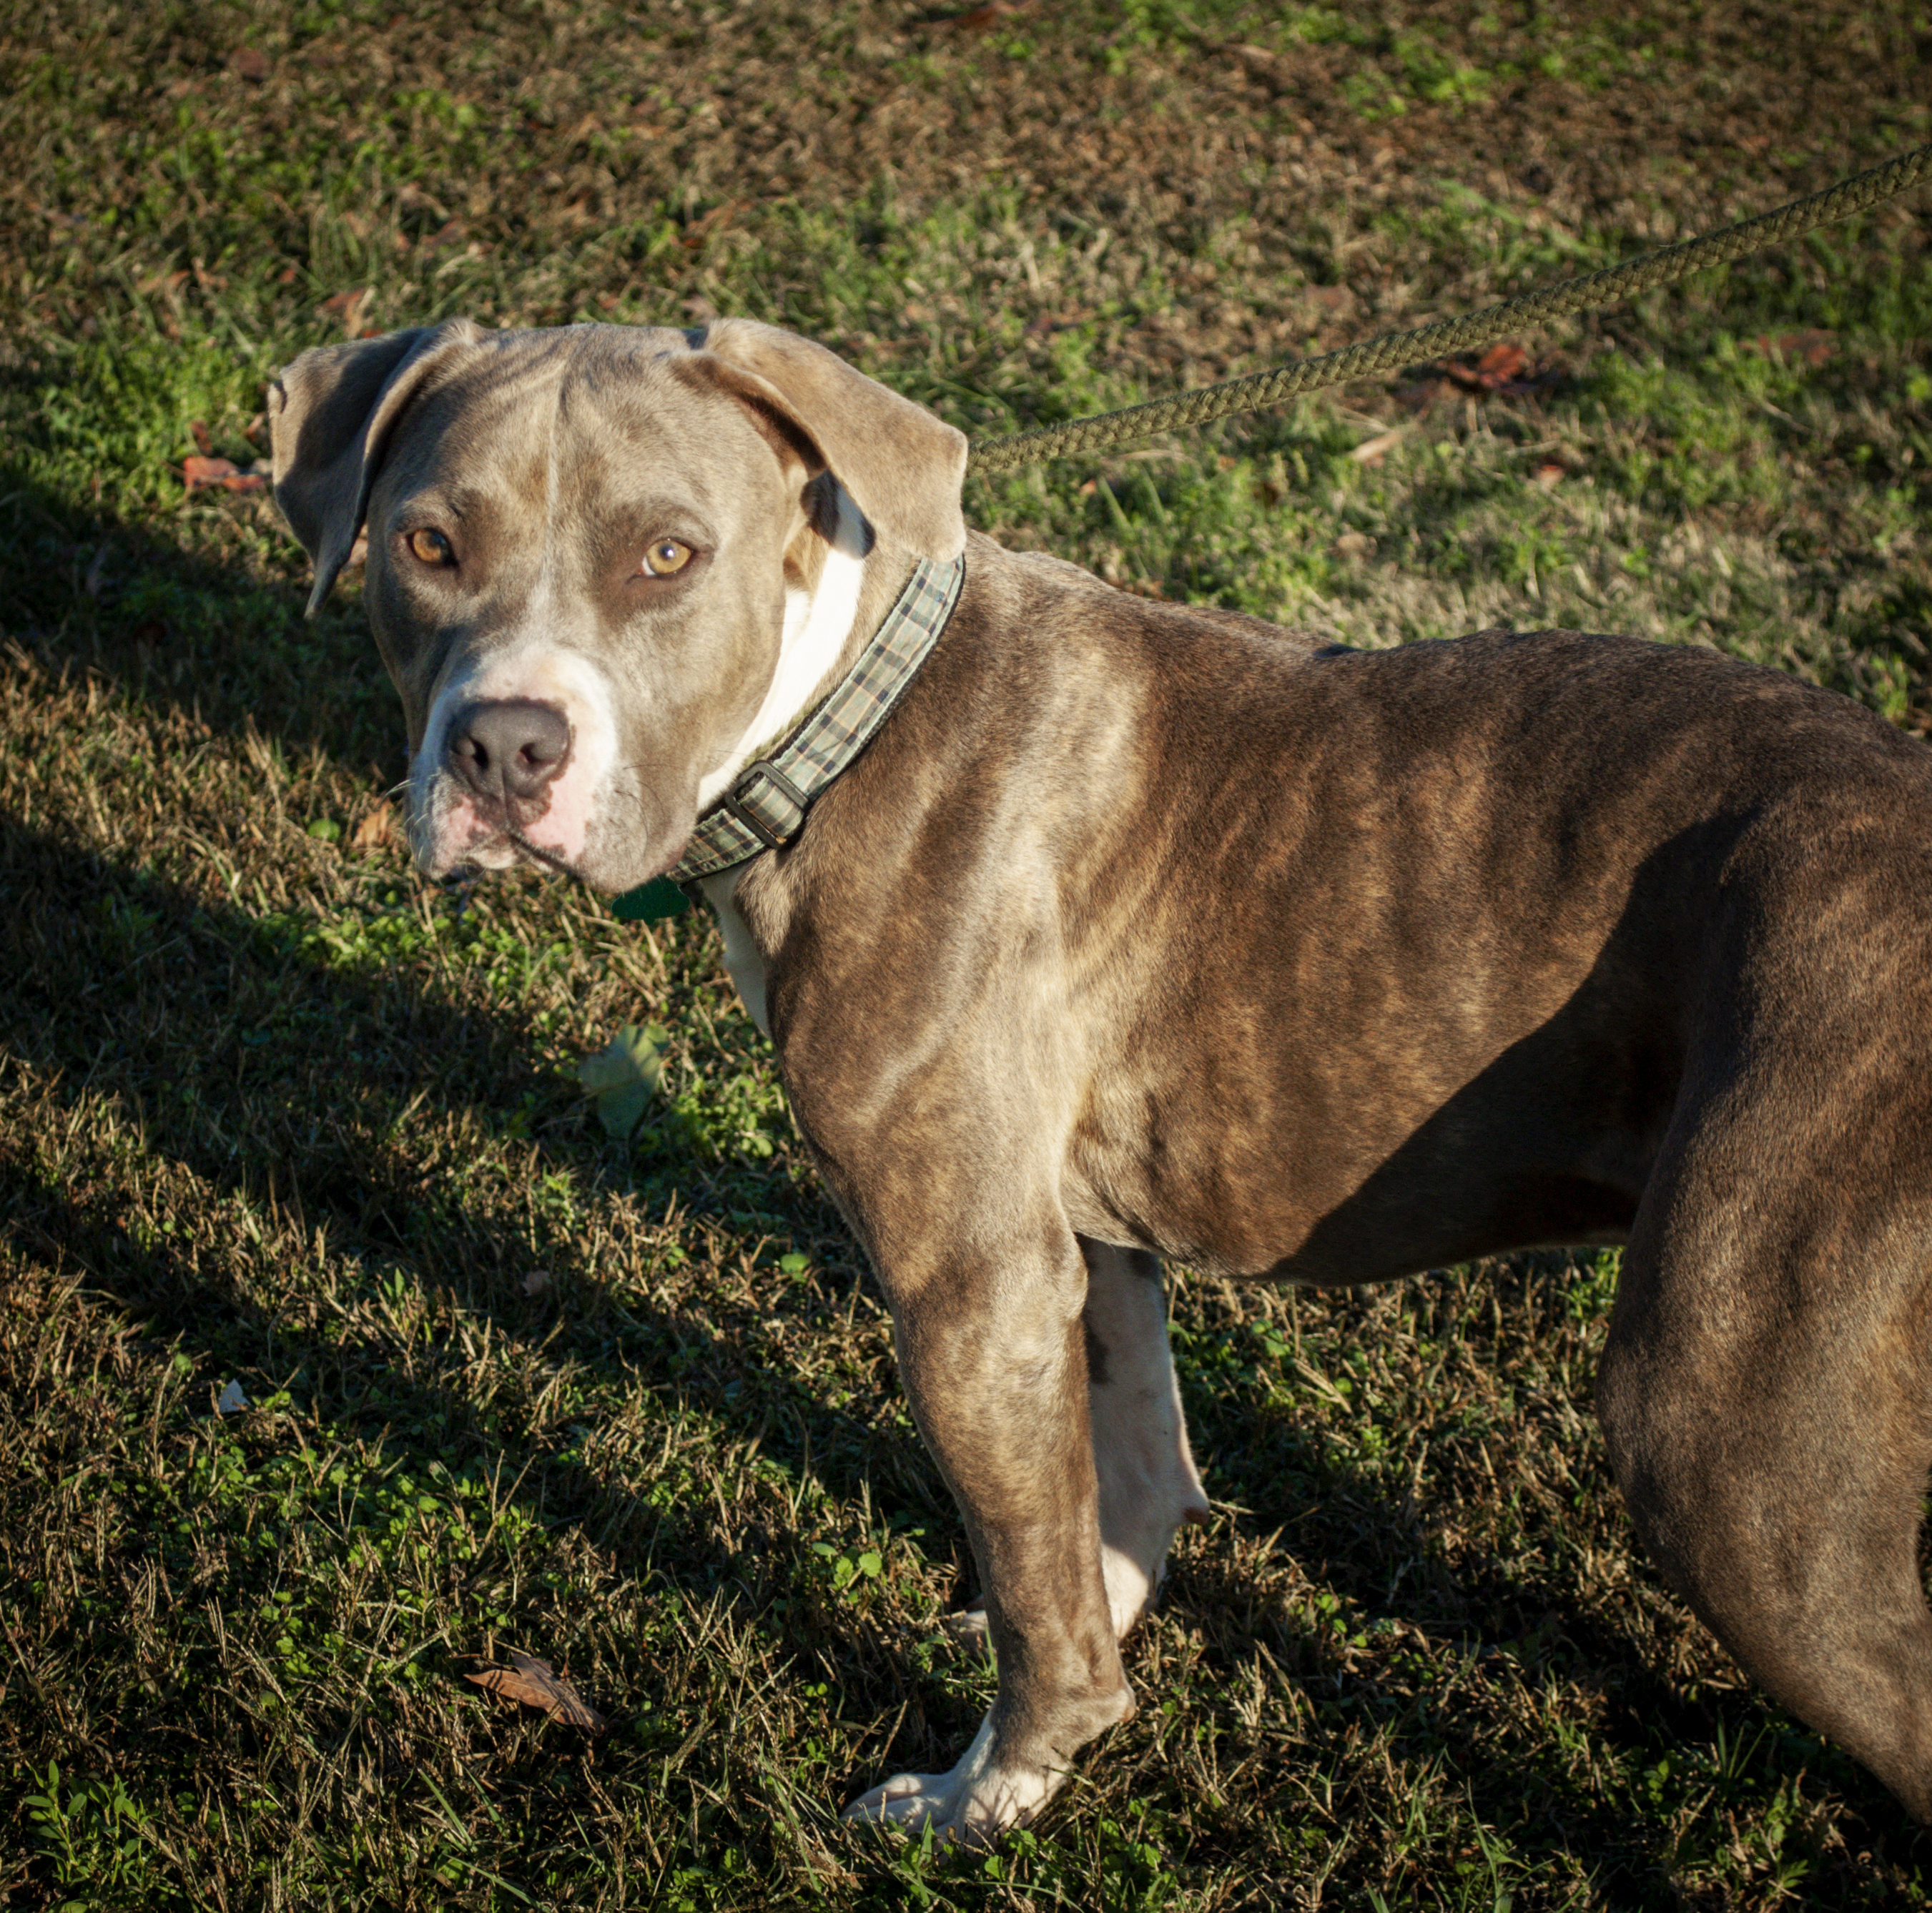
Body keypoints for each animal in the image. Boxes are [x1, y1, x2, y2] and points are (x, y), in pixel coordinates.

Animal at [268, 322, 1932, 1847]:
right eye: (426, 545)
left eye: (667, 556)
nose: (502, 748)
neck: (845, 710)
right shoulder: (1071, 1240)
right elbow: (1107, 1482)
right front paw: (1090, 1641)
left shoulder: (964, 1282)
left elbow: (1030, 1575)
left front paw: (993, 1786)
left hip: (1728, 1443)